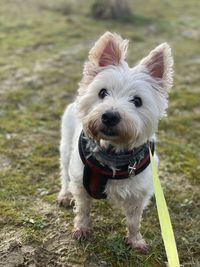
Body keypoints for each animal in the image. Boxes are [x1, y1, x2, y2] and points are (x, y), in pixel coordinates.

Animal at [57, 32, 173, 252]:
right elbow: (83, 209)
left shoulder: (139, 193)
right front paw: (81, 229)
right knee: (65, 176)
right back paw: (64, 195)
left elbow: (134, 221)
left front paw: (135, 241)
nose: (110, 116)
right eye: (102, 92)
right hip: (66, 148)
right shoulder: (80, 183)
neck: (113, 154)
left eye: (137, 101)